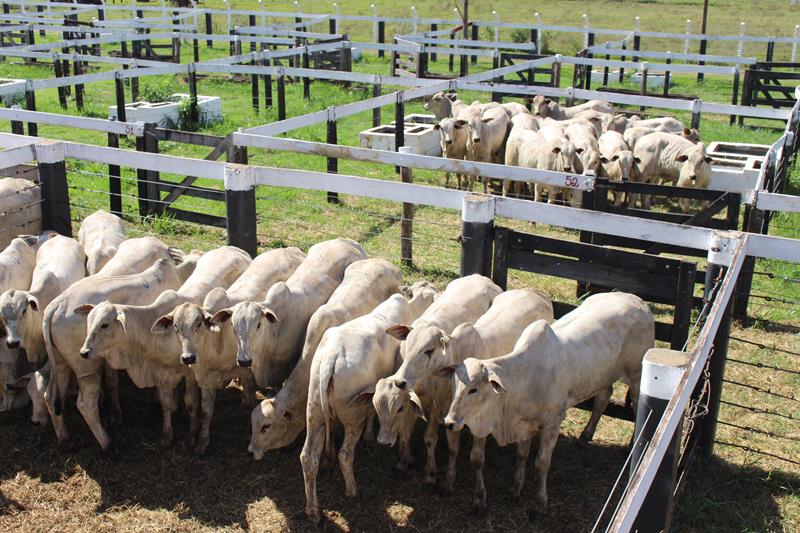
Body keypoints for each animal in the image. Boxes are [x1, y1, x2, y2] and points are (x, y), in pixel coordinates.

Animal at [42, 258, 186, 448]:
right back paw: (106, 442)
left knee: (51, 396)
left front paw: (115, 415)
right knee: (86, 404)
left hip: (60, 363)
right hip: (87, 368)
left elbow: (112, 382)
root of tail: (56, 305)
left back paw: (64, 437)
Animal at [77, 247, 250, 446]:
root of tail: (233, 248)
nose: (84, 352)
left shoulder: (190, 372)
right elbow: (165, 403)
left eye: (104, 325)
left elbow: (191, 404)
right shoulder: (162, 372)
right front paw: (167, 435)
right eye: (88, 322)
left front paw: (191, 435)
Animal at [153, 245, 306, 454]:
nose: (188, 358)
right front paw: (197, 440)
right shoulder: (204, 377)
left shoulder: (246, 371)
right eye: (176, 327)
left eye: (198, 324)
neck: (216, 342)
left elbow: (249, 399)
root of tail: (291, 249)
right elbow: (203, 410)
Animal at [374, 274, 500, 478]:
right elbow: (406, 430)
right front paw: (404, 460)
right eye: (407, 343)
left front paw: (430, 472)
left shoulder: (438, 403)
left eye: (429, 350)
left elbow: (430, 438)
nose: (400, 382)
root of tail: (481, 277)